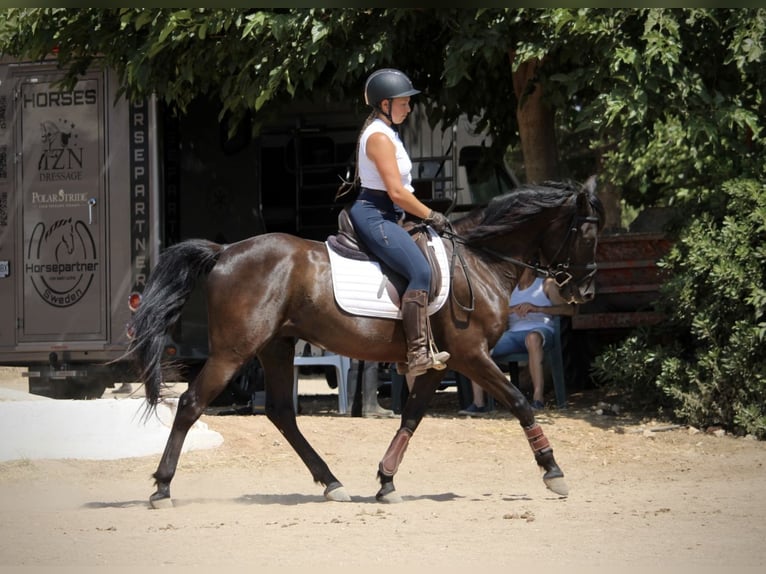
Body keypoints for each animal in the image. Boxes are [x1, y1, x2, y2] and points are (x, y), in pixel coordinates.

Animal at [126, 177, 604, 508]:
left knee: (281, 413)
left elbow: (411, 416)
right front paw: (553, 470)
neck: (479, 260)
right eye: (587, 234)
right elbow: (520, 403)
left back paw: (332, 483)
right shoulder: (472, 356)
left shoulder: (440, 363)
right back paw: (162, 488)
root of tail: (223, 251)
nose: (585, 292)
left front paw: (386, 480)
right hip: (233, 352)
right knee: (191, 404)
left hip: (275, 347)